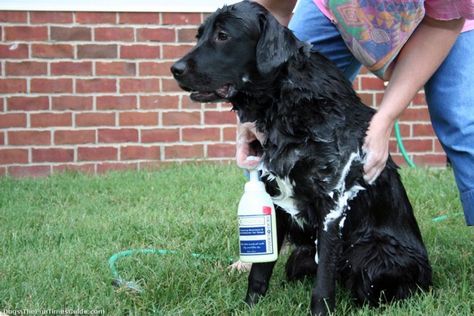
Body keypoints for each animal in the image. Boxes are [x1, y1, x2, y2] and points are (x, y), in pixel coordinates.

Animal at [171, 1, 434, 314]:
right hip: (302, 256)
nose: (175, 69)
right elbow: (260, 271)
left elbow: (323, 282)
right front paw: (250, 305)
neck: (288, 108)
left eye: (223, 36)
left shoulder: (332, 206)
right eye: (199, 35)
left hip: (372, 255)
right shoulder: (273, 200)